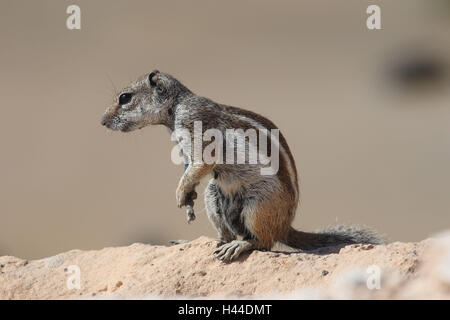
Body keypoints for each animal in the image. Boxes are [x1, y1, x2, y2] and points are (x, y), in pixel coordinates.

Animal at [102, 70, 384, 262]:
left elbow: (201, 164)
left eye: (125, 98)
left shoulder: (198, 129)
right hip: (214, 196)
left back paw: (241, 246)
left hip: (258, 205)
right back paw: (206, 242)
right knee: (225, 230)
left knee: (265, 242)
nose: (102, 121)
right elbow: (190, 173)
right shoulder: (185, 153)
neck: (175, 109)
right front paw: (188, 203)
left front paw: (180, 194)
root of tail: (286, 226)